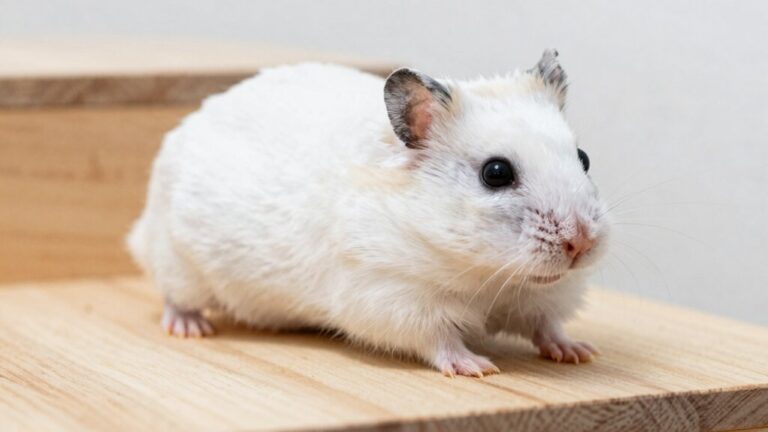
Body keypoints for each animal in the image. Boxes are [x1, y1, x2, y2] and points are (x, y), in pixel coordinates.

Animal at [127, 49, 610, 377]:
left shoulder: (545, 298)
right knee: (173, 296)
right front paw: (477, 366)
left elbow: (547, 326)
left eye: (584, 158)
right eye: (496, 173)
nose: (582, 243)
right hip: (178, 262)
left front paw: (580, 352)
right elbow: (439, 339)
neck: (488, 277)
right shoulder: (396, 298)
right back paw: (190, 328)